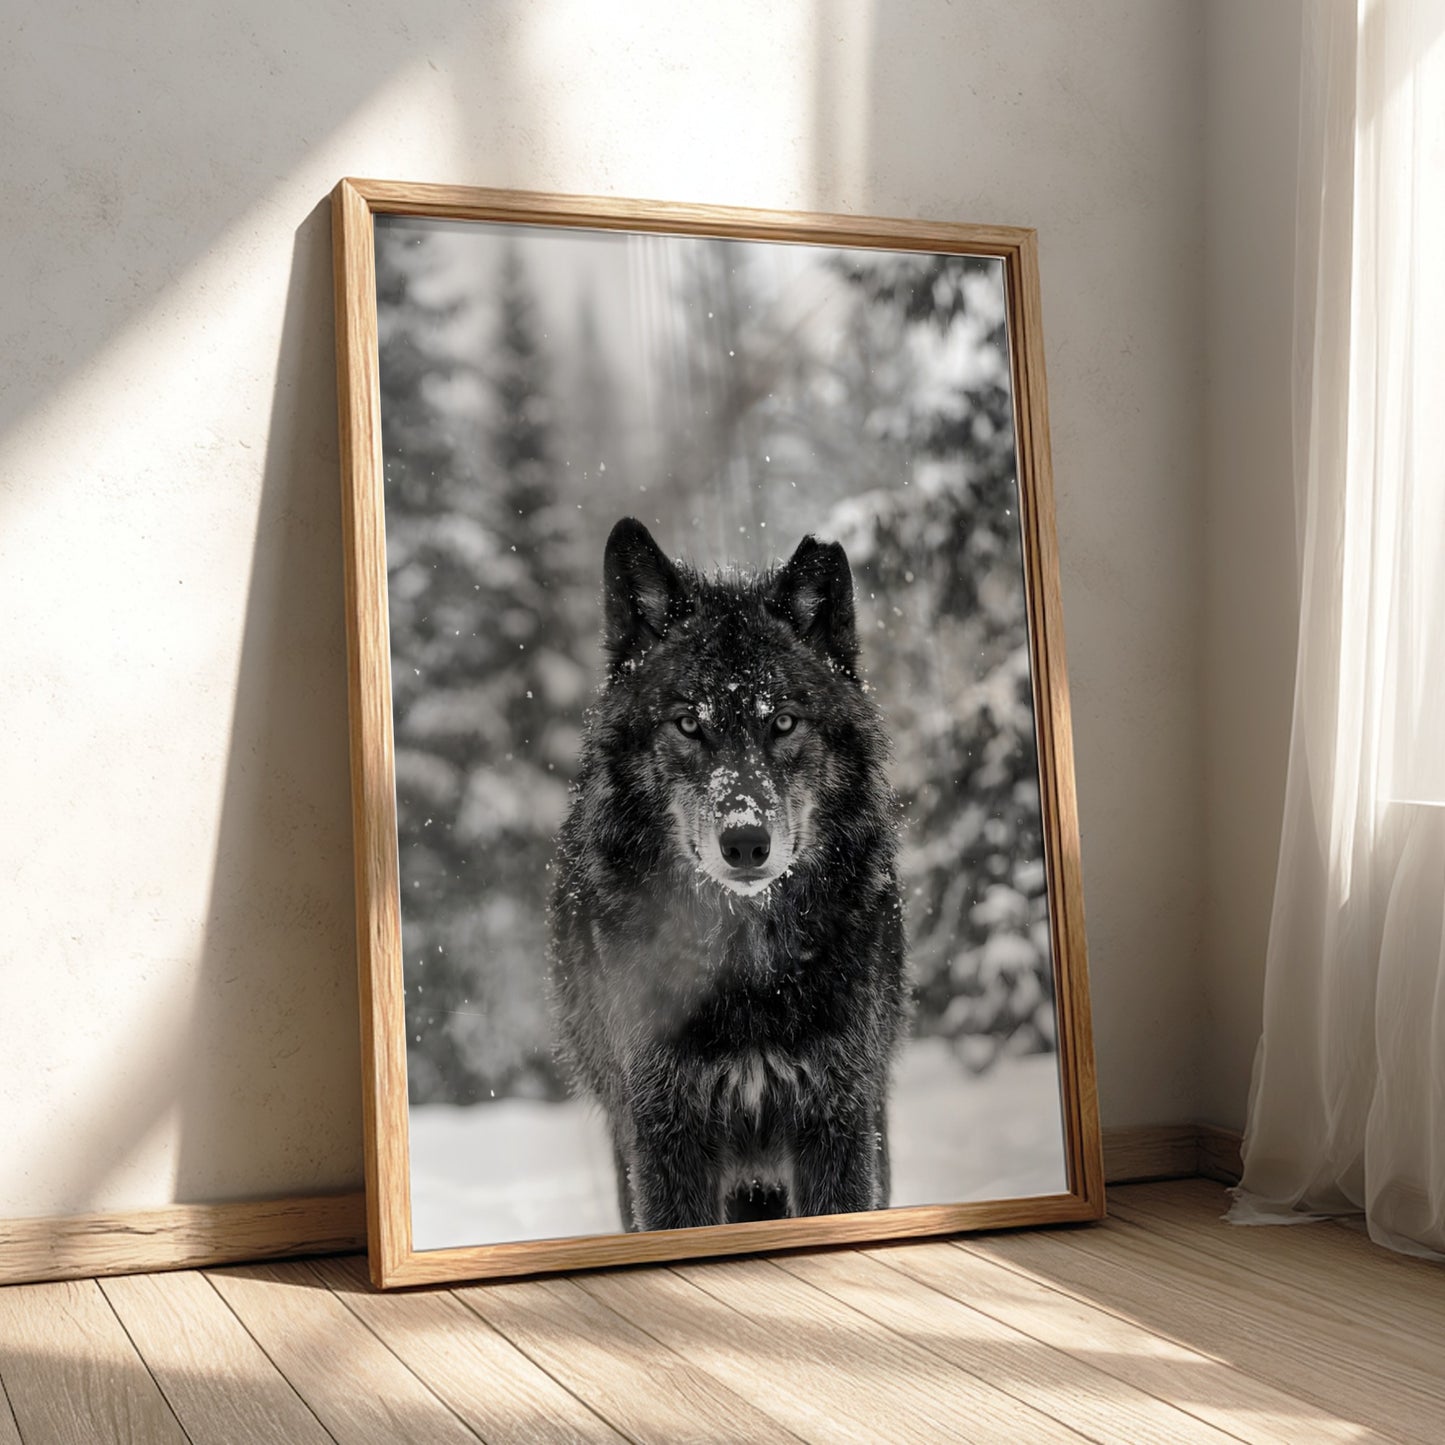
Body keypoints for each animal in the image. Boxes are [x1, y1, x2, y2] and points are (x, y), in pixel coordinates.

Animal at [549, 516, 908, 1233]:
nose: (746, 842)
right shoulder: (663, 1130)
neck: (746, 968)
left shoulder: (839, 1118)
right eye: (689, 723)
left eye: (784, 721)